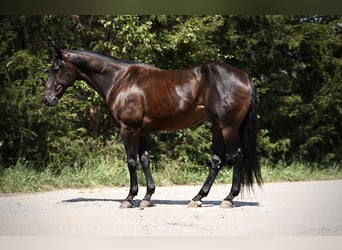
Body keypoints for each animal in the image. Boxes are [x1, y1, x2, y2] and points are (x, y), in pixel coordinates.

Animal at [43, 47, 262, 209]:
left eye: (55, 68)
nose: (47, 99)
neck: (120, 79)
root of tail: (244, 76)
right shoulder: (142, 131)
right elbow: (145, 160)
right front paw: (147, 197)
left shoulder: (128, 129)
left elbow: (131, 161)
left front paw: (129, 198)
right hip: (217, 126)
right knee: (217, 160)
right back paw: (197, 198)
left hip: (228, 126)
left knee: (237, 156)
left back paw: (228, 199)